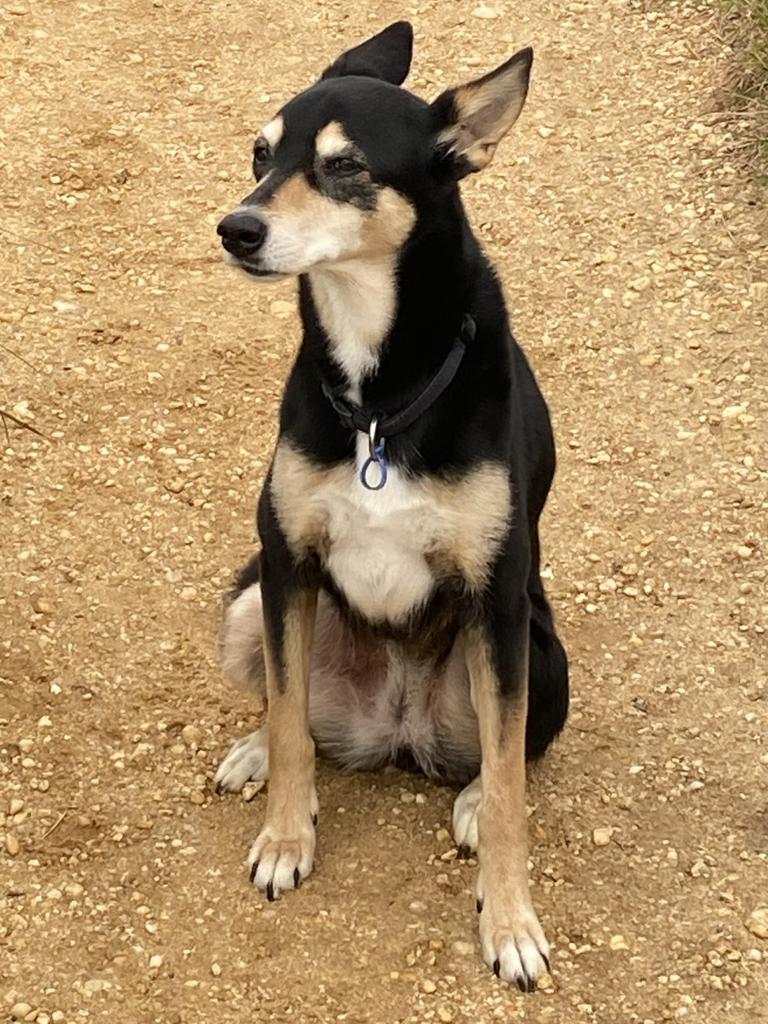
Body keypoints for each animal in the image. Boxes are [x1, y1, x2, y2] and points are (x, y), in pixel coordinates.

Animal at [214, 18, 569, 991]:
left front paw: (511, 922)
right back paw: (256, 751)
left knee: (506, 753)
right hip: (249, 598)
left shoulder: (497, 594)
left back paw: (474, 796)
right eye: (261, 153)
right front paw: (284, 835)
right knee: (291, 706)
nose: (236, 228)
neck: (379, 387)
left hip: (540, 650)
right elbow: (288, 715)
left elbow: (515, 783)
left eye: (345, 166)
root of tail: (396, 729)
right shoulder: (284, 556)